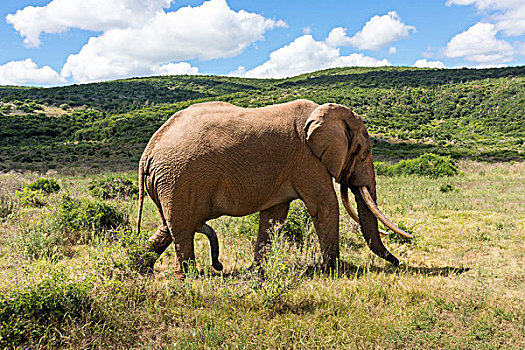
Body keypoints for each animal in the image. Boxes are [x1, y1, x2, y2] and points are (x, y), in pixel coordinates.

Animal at [136, 100, 414, 278]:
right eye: (364, 152)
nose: (398, 262)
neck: (323, 112)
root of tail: (148, 152)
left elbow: (273, 217)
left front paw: (254, 273)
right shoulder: (307, 159)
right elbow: (325, 206)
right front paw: (335, 271)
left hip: (171, 181)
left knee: (169, 226)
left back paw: (140, 267)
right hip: (181, 178)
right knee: (182, 228)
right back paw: (187, 278)